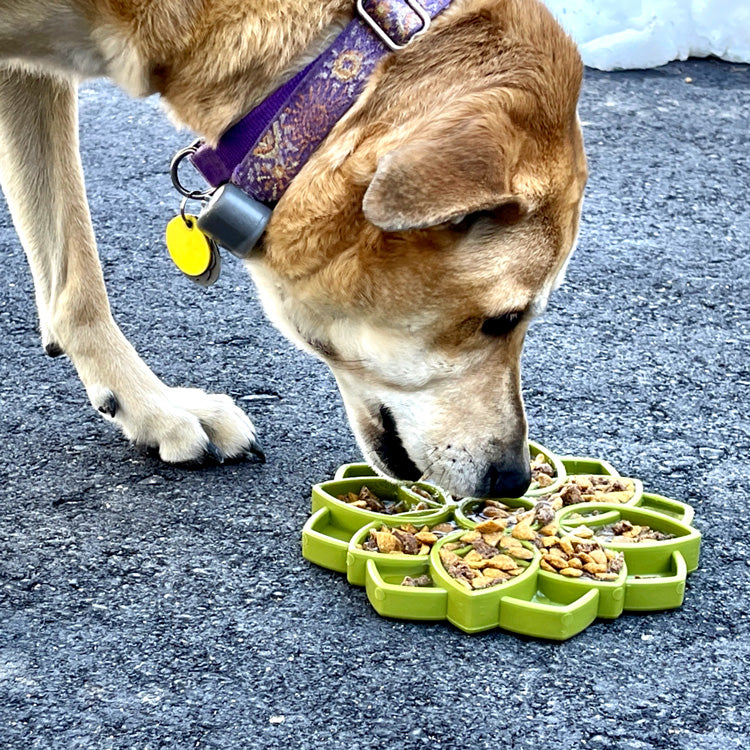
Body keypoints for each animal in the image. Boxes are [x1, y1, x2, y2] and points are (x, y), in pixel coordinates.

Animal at [0, 2, 588, 502]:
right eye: (503, 320)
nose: (514, 480)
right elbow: (82, 270)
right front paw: (156, 408)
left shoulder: (29, 75)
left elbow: (71, 279)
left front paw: (146, 405)